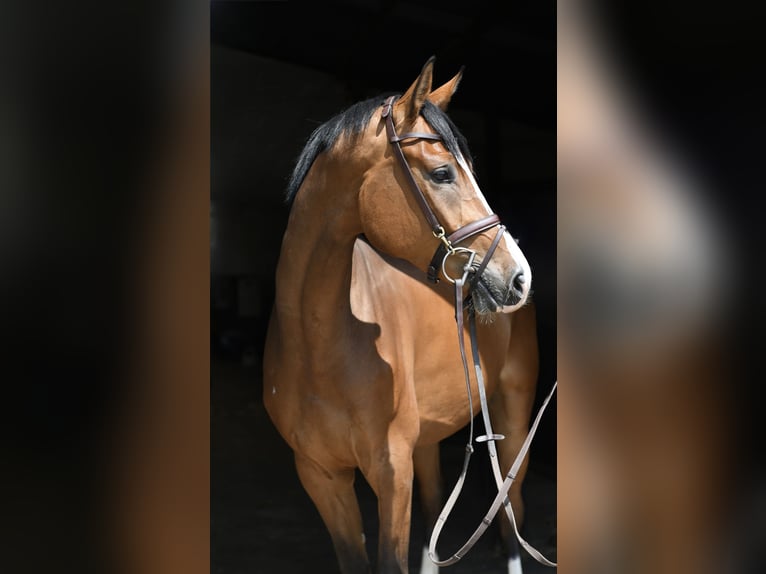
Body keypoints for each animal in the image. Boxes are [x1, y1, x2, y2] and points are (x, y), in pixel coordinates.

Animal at [263, 57, 544, 574]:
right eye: (442, 173)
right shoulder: (321, 476)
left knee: (509, 505)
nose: (518, 276)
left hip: (514, 416)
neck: (319, 347)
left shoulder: (392, 472)